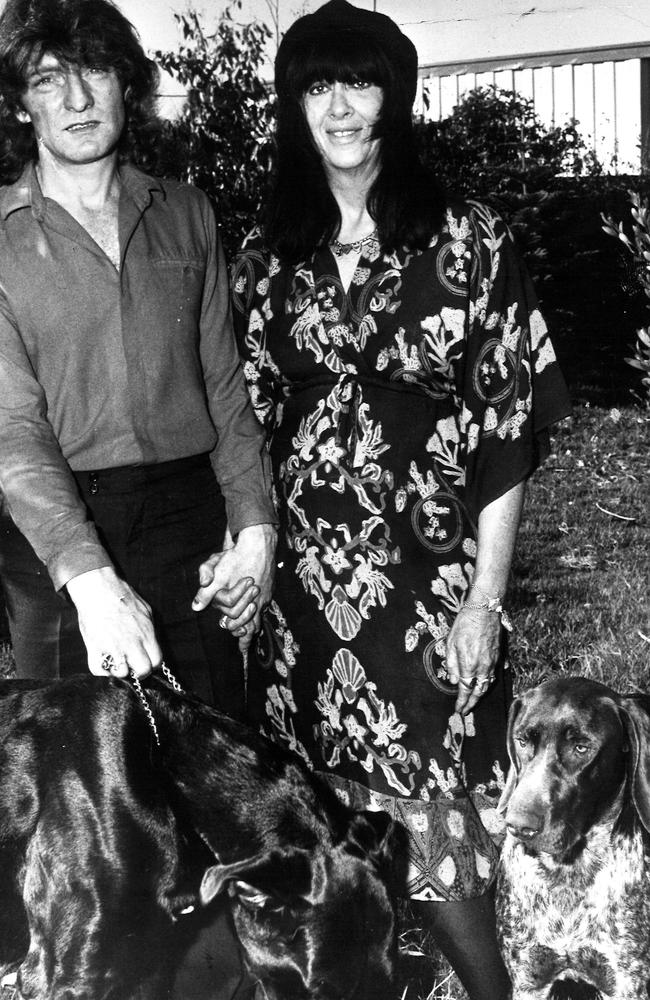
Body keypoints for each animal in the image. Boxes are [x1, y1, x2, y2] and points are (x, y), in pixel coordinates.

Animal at [496, 672, 648, 1000]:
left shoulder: (627, 983)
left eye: (581, 747)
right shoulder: (528, 981)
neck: (568, 874)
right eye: (522, 740)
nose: (518, 826)